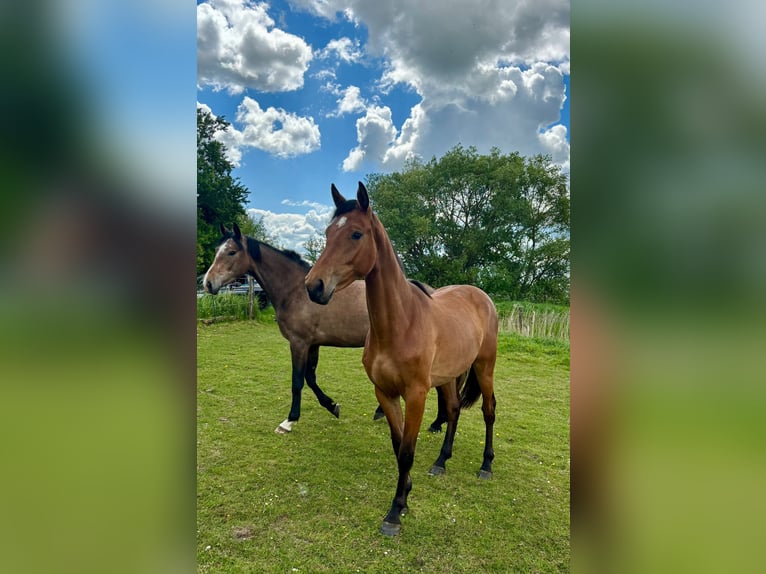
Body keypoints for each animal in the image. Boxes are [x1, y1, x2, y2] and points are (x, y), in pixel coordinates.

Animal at [202, 223, 451, 434]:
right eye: (217, 250)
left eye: (231, 252)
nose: (208, 283)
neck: (296, 290)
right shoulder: (313, 344)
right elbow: (310, 378)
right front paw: (332, 405)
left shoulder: (299, 343)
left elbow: (297, 381)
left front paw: (289, 421)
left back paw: (434, 422)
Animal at [305, 182, 498, 536]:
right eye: (327, 233)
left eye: (356, 234)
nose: (314, 286)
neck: (400, 324)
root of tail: (481, 296)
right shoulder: (385, 392)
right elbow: (398, 448)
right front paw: (405, 496)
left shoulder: (416, 395)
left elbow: (408, 452)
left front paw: (394, 513)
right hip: (449, 376)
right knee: (453, 410)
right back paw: (441, 462)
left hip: (484, 367)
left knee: (489, 411)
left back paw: (486, 465)